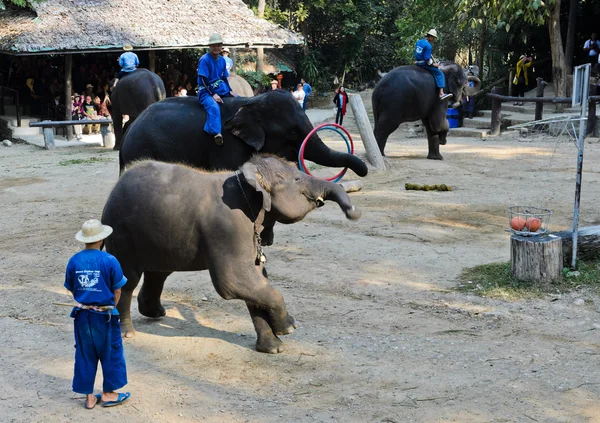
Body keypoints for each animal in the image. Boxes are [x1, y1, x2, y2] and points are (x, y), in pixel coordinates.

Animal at [102, 156, 360, 354]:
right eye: (297, 179)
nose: (353, 213)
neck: (245, 178)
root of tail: (115, 186)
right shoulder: (228, 227)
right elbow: (232, 281)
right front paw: (289, 327)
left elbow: (255, 280)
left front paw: (274, 348)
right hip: (121, 234)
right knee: (128, 280)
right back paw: (127, 333)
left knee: (158, 273)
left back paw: (156, 313)